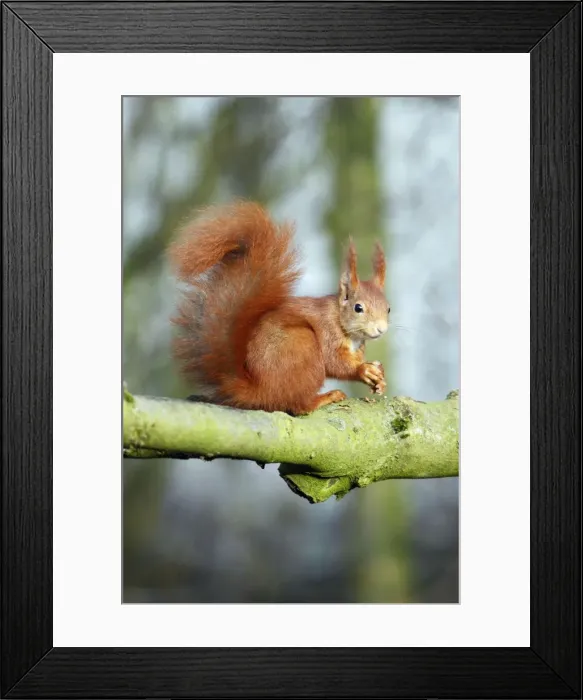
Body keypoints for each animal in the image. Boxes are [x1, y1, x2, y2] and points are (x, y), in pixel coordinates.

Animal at [167, 201, 390, 416]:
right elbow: (335, 362)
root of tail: (260, 391)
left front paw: (379, 377)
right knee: (299, 406)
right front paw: (363, 370)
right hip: (303, 347)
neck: (344, 325)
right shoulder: (328, 331)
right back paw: (325, 398)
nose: (381, 329)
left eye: (388, 308)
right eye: (358, 308)